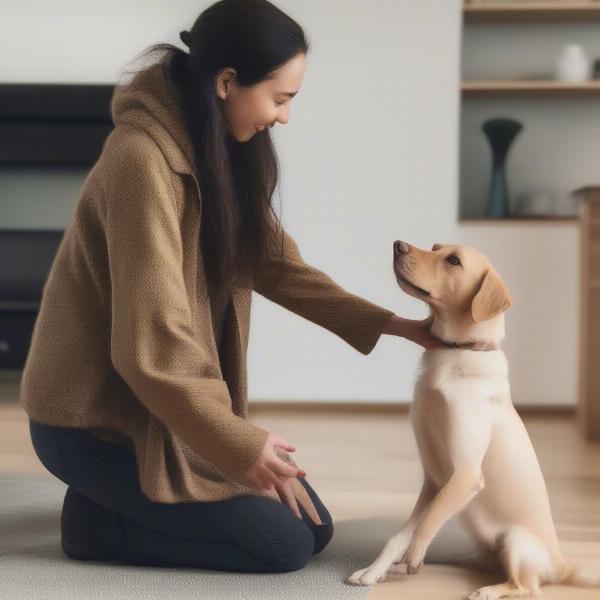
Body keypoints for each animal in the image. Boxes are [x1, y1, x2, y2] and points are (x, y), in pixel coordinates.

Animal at [344, 241, 596, 596]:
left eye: (453, 261)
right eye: (435, 247)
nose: (398, 245)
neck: (459, 350)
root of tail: (562, 564)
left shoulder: (464, 474)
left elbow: (426, 524)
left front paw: (414, 555)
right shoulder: (436, 480)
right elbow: (401, 534)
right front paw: (374, 570)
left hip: (516, 541)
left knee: (528, 587)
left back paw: (489, 590)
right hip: (487, 548)